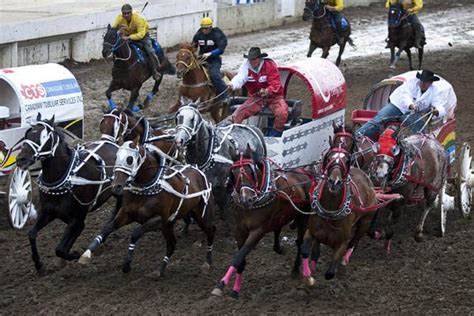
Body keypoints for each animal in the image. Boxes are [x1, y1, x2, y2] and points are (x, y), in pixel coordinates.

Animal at [16, 115, 120, 276]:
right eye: (27, 134)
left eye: (44, 137)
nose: (21, 159)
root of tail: (110, 142)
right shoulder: (47, 213)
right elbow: (31, 234)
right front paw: (39, 265)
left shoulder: (77, 219)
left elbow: (60, 249)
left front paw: (77, 255)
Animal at [78, 138, 216, 274]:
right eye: (116, 156)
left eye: (130, 159)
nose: (116, 186)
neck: (145, 189)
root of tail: (200, 174)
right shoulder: (126, 214)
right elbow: (107, 229)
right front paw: (86, 254)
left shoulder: (158, 219)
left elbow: (135, 233)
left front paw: (127, 264)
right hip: (169, 225)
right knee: (172, 245)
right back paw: (161, 270)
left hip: (202, 216)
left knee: (211, 231)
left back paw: (208, 262)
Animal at [212, 146, 318, 298]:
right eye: (233, 173)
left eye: (251, 171)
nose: (246, 199)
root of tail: (306, 173)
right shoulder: (239, 230)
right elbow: (241, 260)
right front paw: (235, 289)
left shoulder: (258, 231)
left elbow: (238, 257)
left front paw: (221, 285)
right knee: (278, 230)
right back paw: (279, 248)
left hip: (303, 215)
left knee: (300, 242)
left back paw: (296, 269)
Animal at [302, 144, 380, 288]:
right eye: (328, 158)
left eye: (347, 161)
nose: (335, 182)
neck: (329, 213)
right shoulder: (311, 231)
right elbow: (305, 250)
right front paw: (308, 277)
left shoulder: (342, 242)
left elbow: (330, 273)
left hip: (366, 220)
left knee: (355, 240)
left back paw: (345, 259)